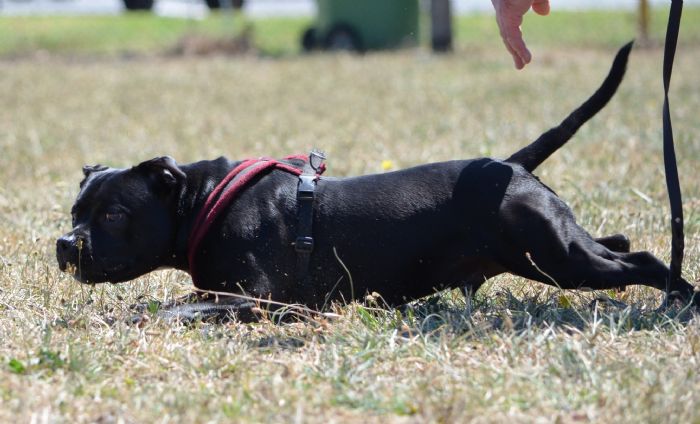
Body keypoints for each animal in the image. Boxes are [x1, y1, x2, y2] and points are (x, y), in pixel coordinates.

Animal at [54, 44, 696, 322]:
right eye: (74, 212)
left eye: (112, 215)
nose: (65, 245)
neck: (201, 201)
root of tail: (509, 167)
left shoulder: (252, 297)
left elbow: (174, 307)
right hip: (555, 246)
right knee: (617, 242)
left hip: (556, 258)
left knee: (642, 259)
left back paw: (681, 299)